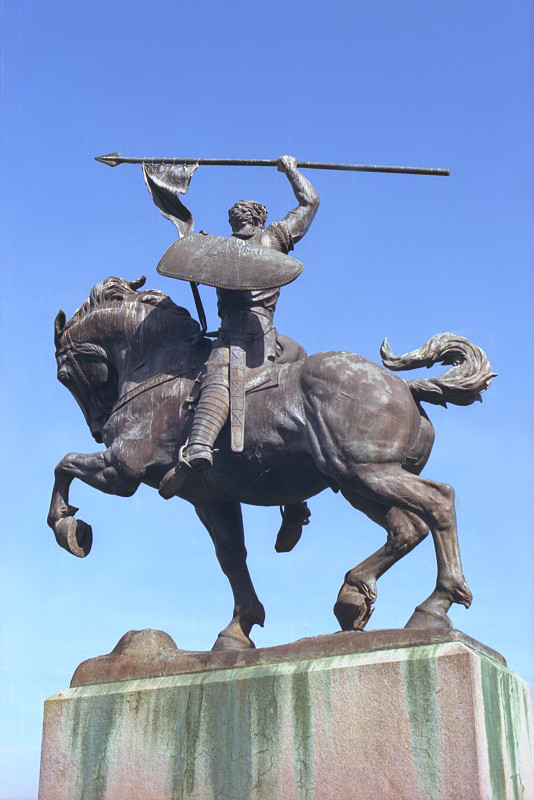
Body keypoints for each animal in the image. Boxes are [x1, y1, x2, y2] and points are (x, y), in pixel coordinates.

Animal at [48, 276, 496, 648]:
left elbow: (64, 464)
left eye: (64, 374)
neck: (160, 369)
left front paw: (70, 529)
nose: (98, 426)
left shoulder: (122, 469)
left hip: (368, 472)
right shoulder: (210, 497)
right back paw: (354, 596)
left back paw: (433, 607)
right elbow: (231, 556)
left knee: (438, 502)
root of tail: (406, 387)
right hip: (358, 483)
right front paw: (238, 629)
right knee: (407, 528)